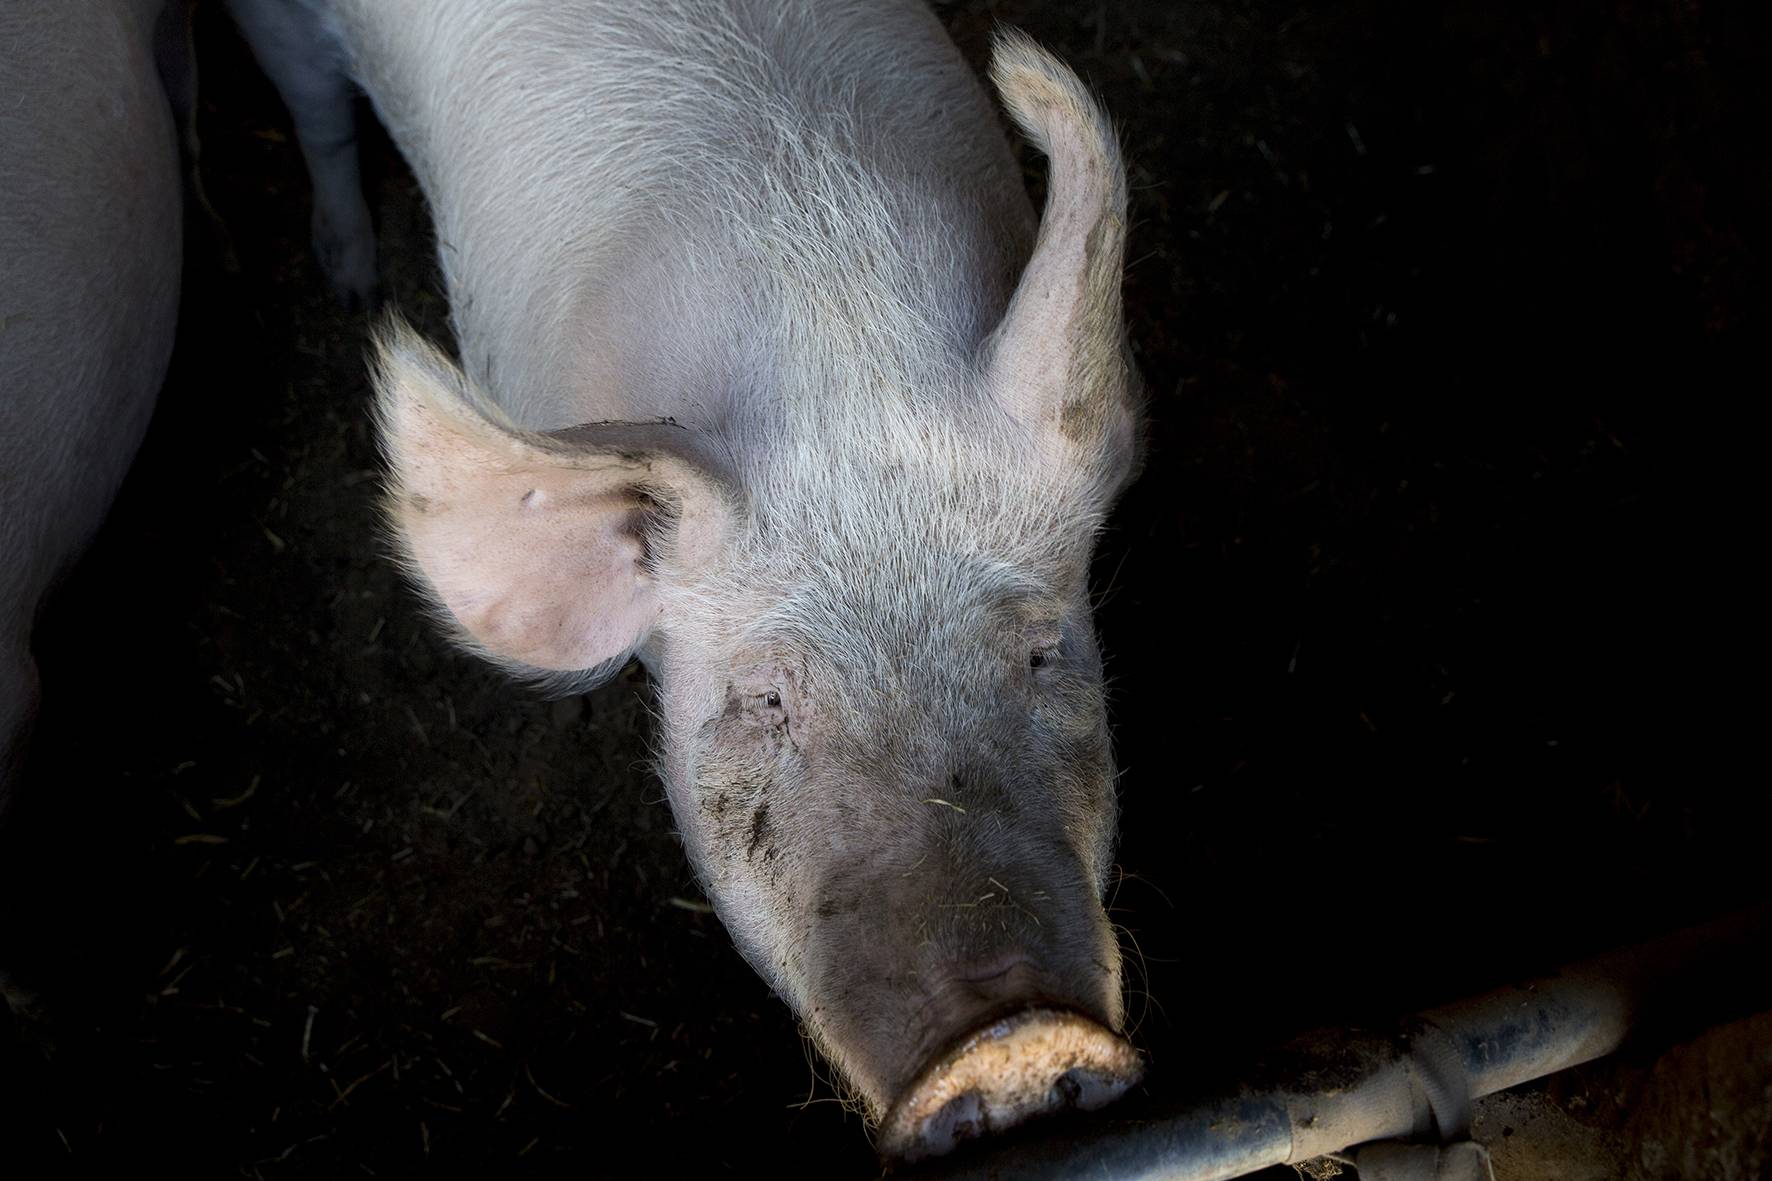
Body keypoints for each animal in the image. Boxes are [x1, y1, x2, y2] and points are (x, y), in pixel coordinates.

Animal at [225, 0, 1148, 1149]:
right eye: (762, 700)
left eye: (1039, 653)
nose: (1016, 1034)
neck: (830, 327)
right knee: (318, 119)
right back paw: (349, 279)